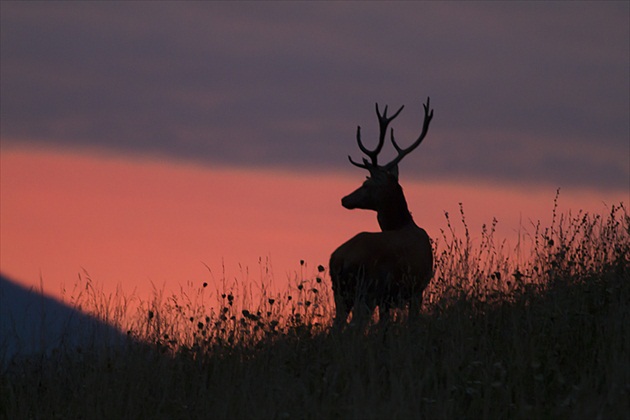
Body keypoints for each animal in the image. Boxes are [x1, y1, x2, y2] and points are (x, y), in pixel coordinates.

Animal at [330, 97, 434, 324]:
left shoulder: (394, 297)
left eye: (366, 184)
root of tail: (340, 260)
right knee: (356, 324)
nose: (344, 199)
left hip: (343, 293)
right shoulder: (417, 289)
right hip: (367, 290)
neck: (404, 224)